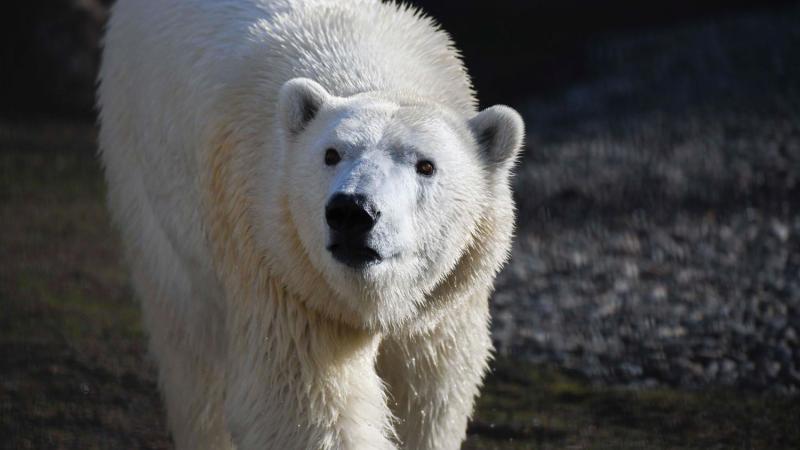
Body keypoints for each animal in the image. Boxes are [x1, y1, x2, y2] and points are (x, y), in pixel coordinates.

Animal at [98, 0, 524, 450]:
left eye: (426, 165)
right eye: (331, 153)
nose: (352, 211)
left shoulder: (443, 305)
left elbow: (429, 394)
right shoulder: (284, 273)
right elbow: (305, 407)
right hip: (146, 185)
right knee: (191, 353)